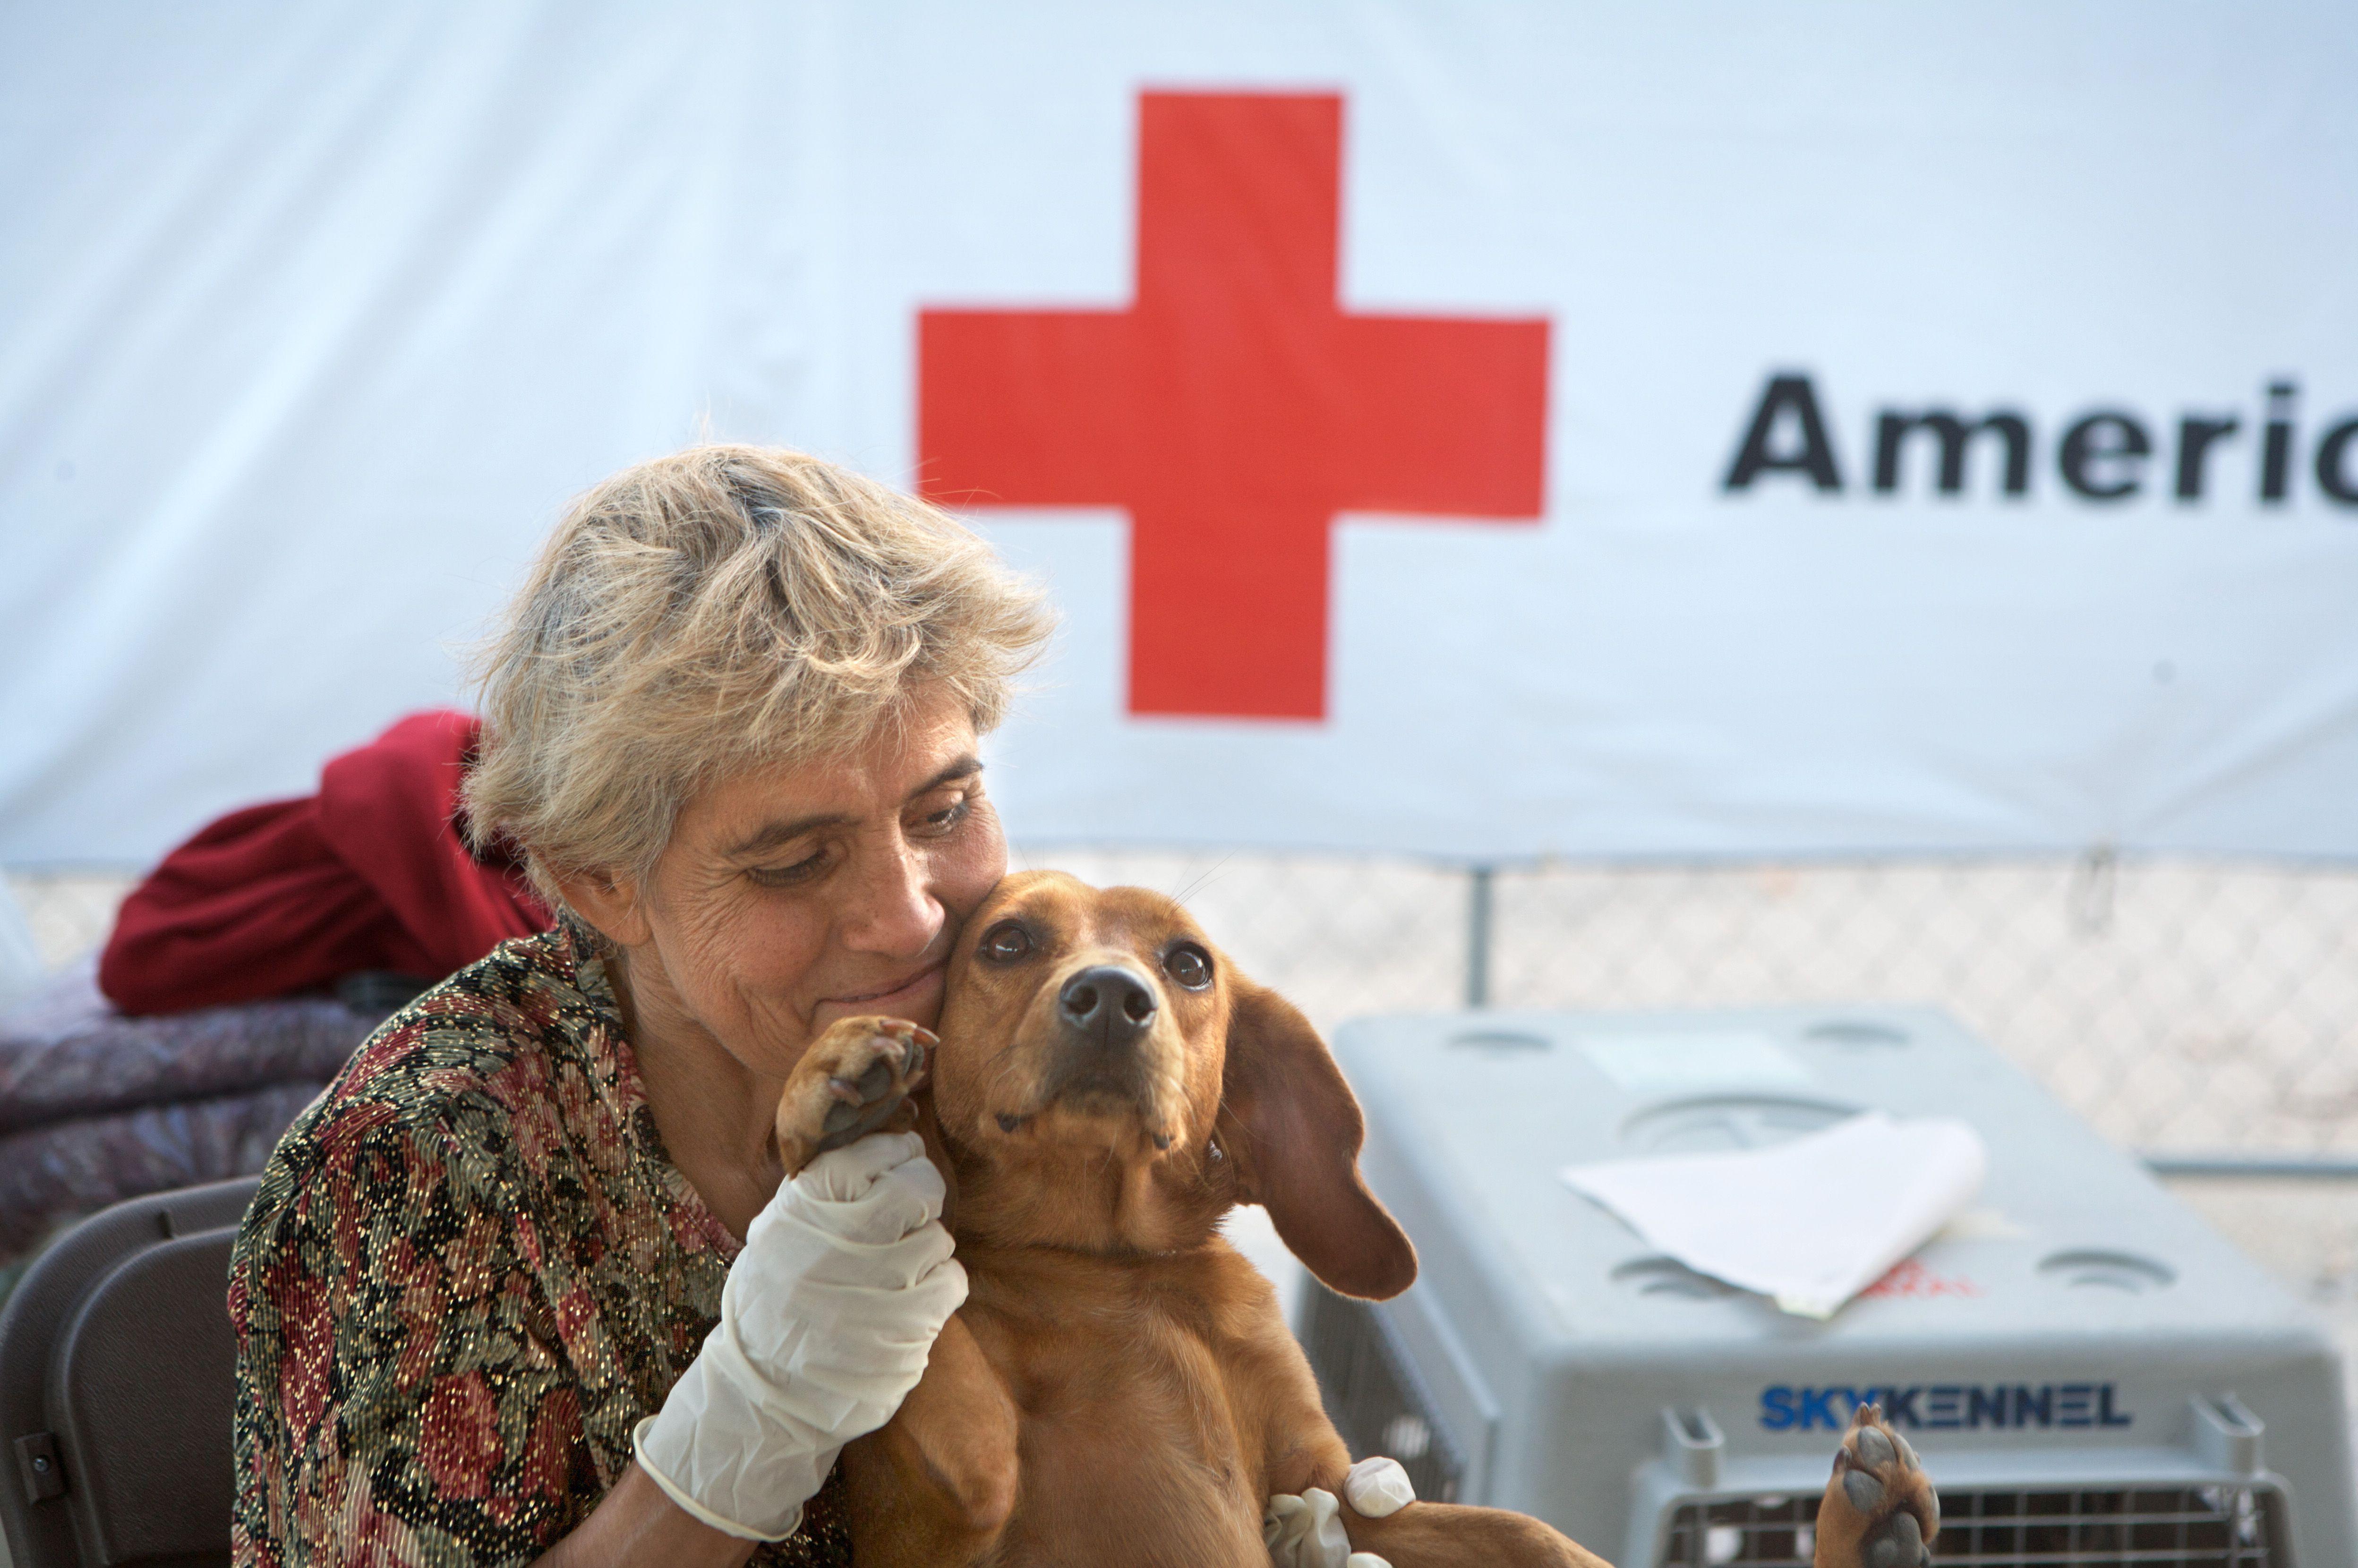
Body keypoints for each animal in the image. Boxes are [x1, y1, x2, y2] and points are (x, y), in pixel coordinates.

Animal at [773, 868, 1933, 1566]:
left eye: (1187, 963)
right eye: (1007, 942)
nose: (1111, 997)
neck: (1106, 1264)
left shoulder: (1334, 1486)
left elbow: (1531, 1533)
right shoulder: (963, 1500)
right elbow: (935, 1351)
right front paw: (833, 1100)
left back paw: (1872, 1525)